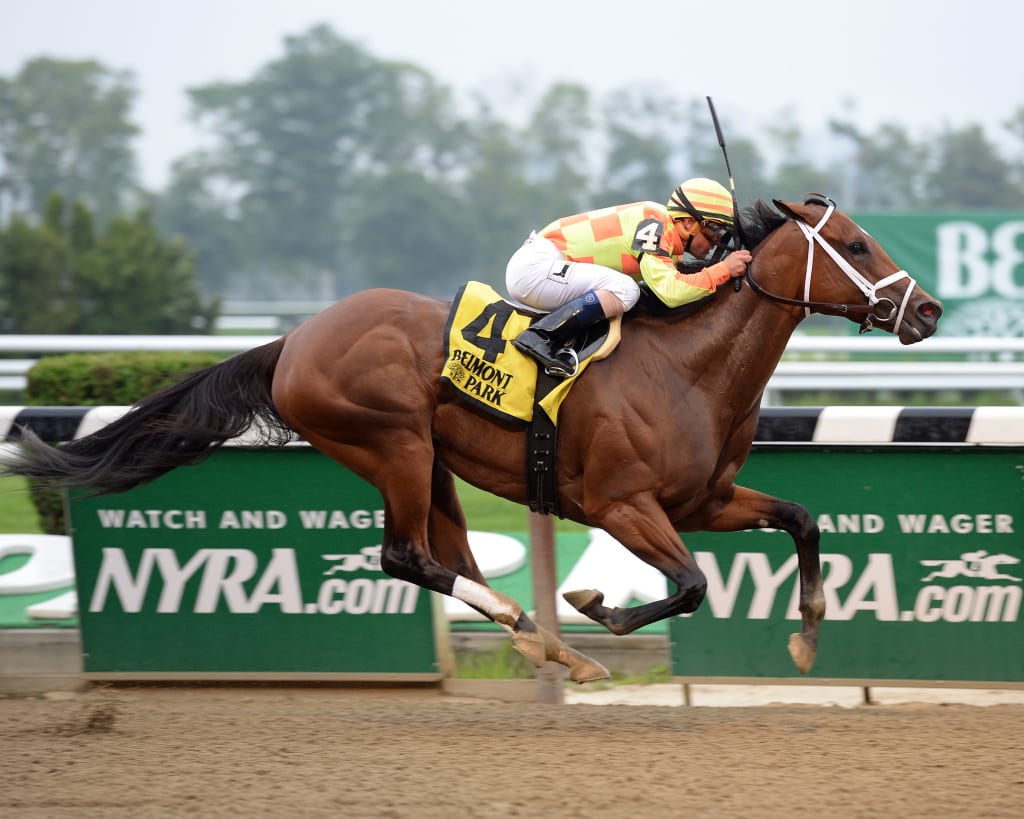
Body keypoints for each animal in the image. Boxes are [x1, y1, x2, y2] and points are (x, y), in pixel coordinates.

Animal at [4, 195, 937, 679]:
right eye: (855, 243)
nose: (926, 310)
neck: (687, 366)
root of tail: (294, 340)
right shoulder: (623, 504)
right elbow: (691, 585)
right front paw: (597, 605)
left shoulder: (702, 499)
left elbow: (802, 520)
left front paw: (807, 634)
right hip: (393, 445)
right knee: (405, 556)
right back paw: (544, 631)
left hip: (433, 463)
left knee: (446, 555)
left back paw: (539, 639)